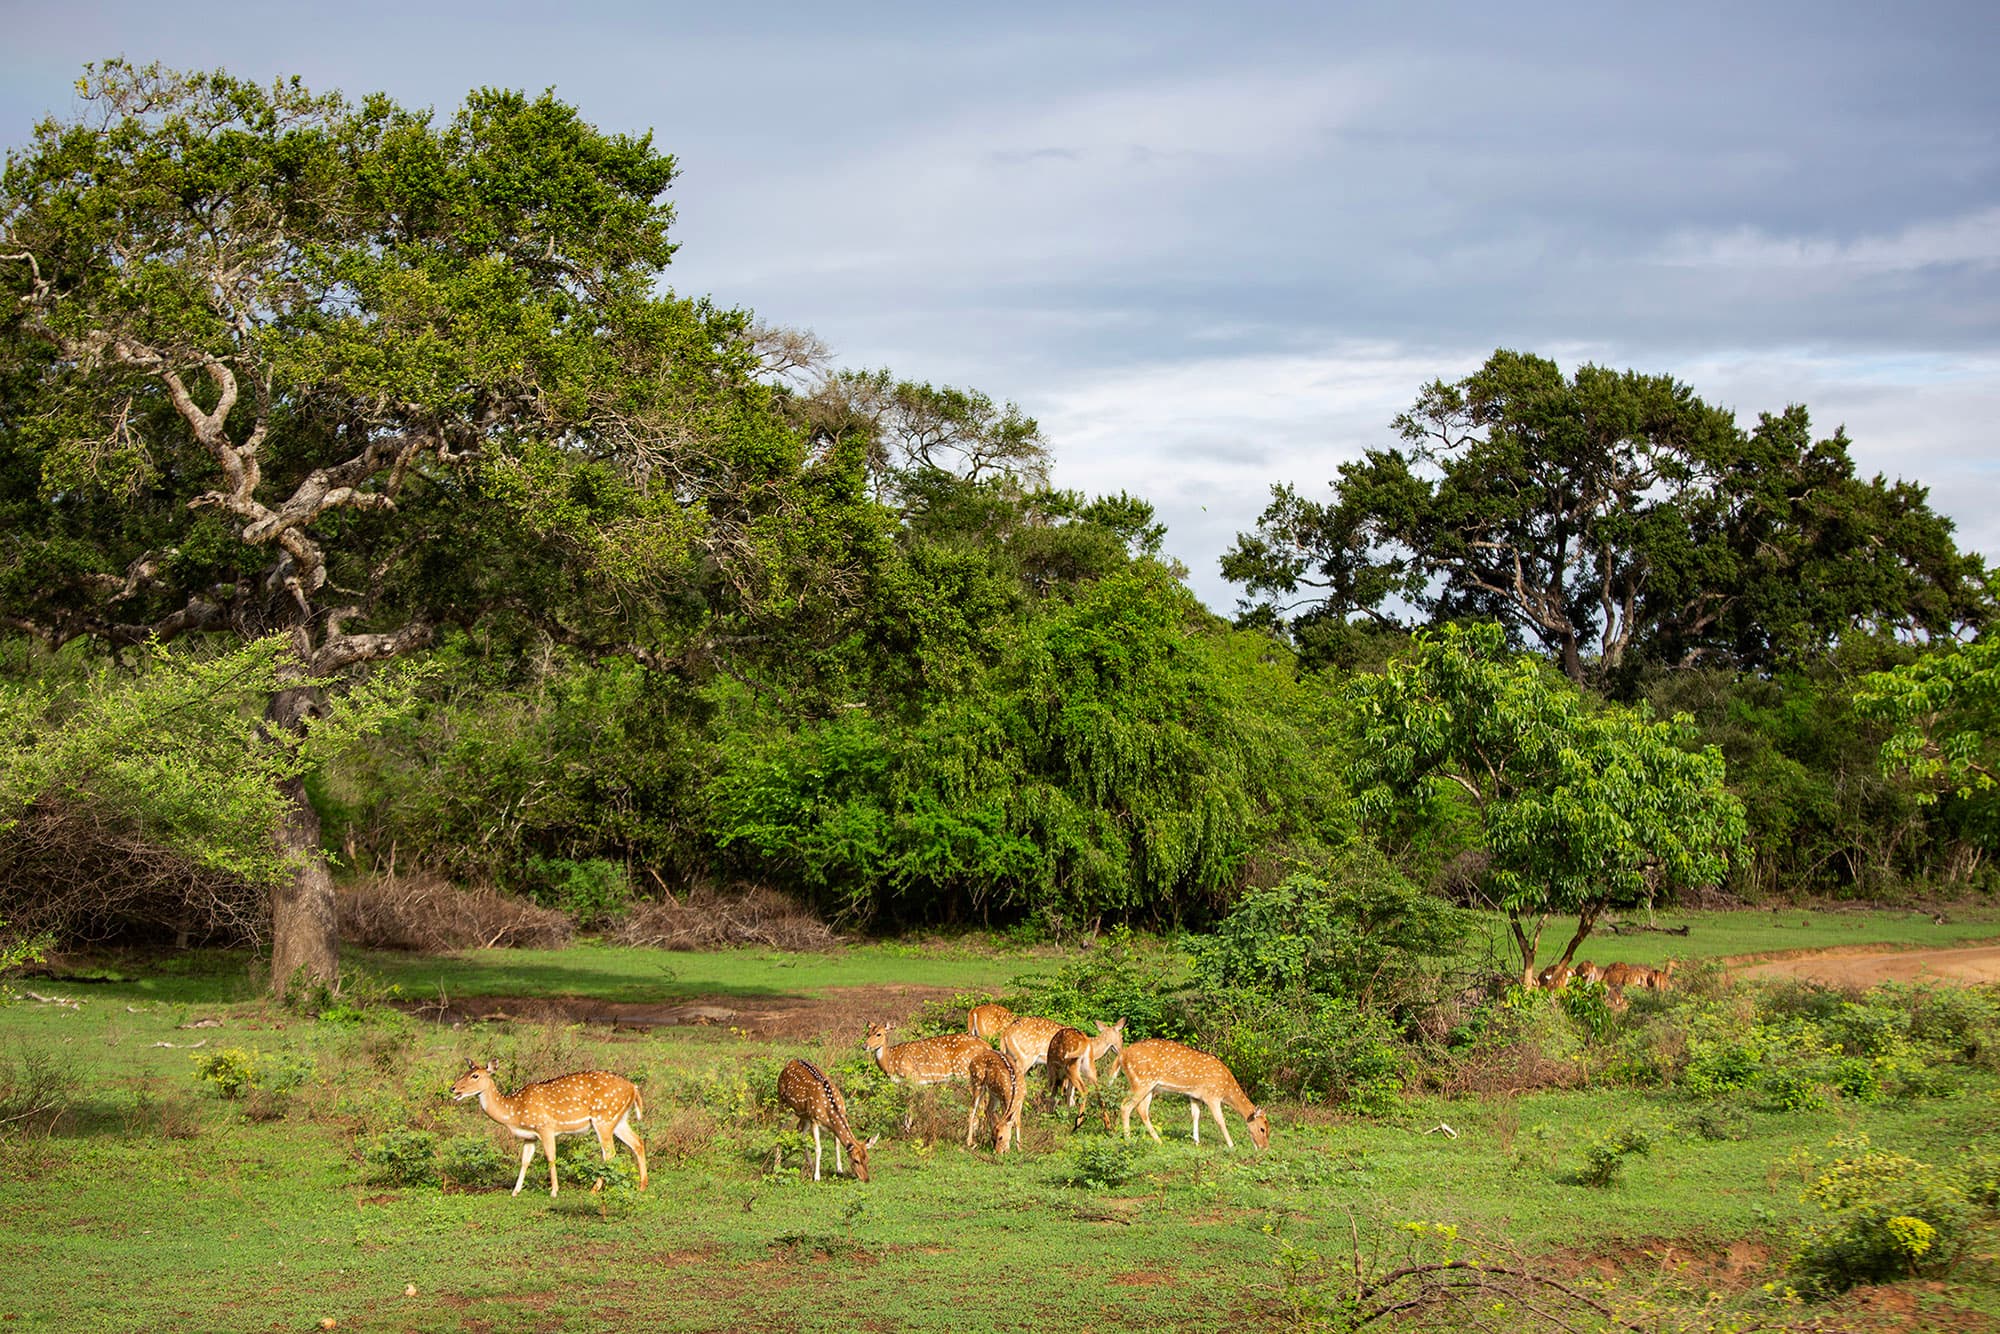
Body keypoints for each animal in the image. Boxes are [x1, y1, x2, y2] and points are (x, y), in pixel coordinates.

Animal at [450, 1060, 647, 1198]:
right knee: (637, 1142)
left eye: (475, 1076)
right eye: (466, 1072)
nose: (453, 1088)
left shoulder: (545, 1127)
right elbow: (525, 1160)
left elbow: (551, 1157)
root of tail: (634, 1088)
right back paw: (642, 1186)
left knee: (610, 1153)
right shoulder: (529, 1136)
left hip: (604, 1118)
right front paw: (515, 1191)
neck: (514, 1113)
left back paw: (594, 1189)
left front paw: (554, 1191)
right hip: (619, 1119)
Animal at [1111, 1039, 1270, 1151]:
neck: (1226, 1088)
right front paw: (1231, 1145)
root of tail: (1121, 1055)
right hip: (1141, 1081)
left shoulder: (1195, 1096)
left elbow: (1195, 1115)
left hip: (1150, 1088)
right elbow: (1220, 1120)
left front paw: (1196, 1142)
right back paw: (1128, 1140)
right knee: (1126, 1106)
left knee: (1142, 1109)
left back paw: (1158, 1141)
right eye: (1262, 1128)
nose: (1264, 1148)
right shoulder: (1212, 1095)